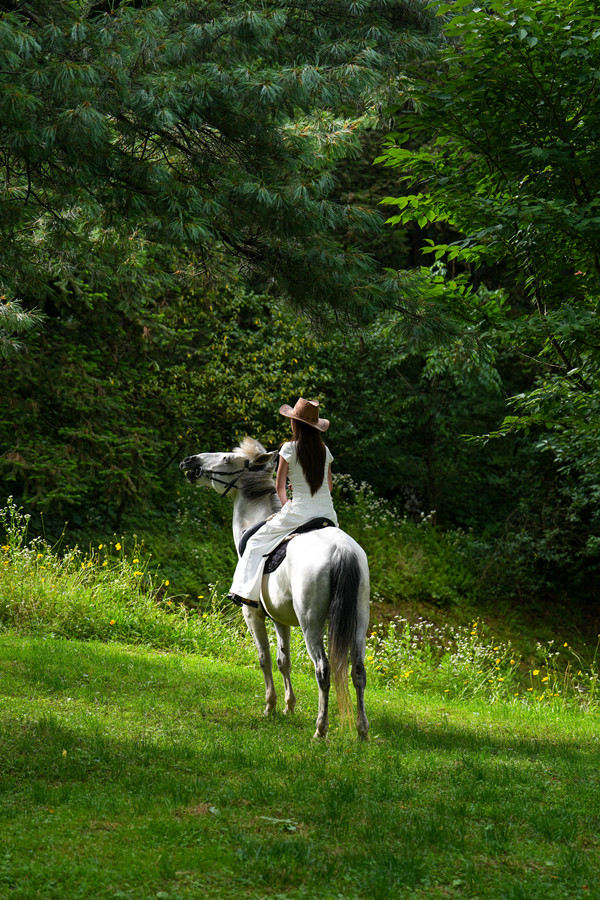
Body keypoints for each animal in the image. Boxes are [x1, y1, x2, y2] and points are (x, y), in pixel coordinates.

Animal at [179, 437, 370, 739]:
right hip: (359, 620)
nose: (189, 461)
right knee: (358, 671)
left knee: (323, 669)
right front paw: (289, 706)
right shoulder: (280, 618)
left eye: (226, 459)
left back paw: (320, 729)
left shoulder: (252, 614)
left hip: (311, 624)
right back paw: (362, 731)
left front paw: (270, 706)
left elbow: (264, 658)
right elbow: (284, 660)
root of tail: (342, 550)